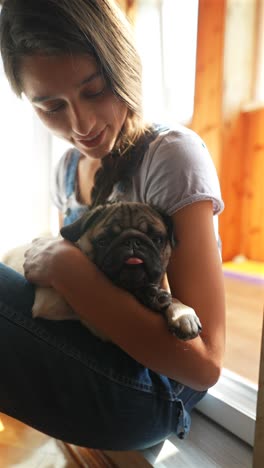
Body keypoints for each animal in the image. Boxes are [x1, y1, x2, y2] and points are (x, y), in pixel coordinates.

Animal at [2, 201, 202, 340]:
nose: (132, 242)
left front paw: (181, 312)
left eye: (158, 239)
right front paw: (152, 296)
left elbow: (171, 298)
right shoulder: (51, 302)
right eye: (103, 241)